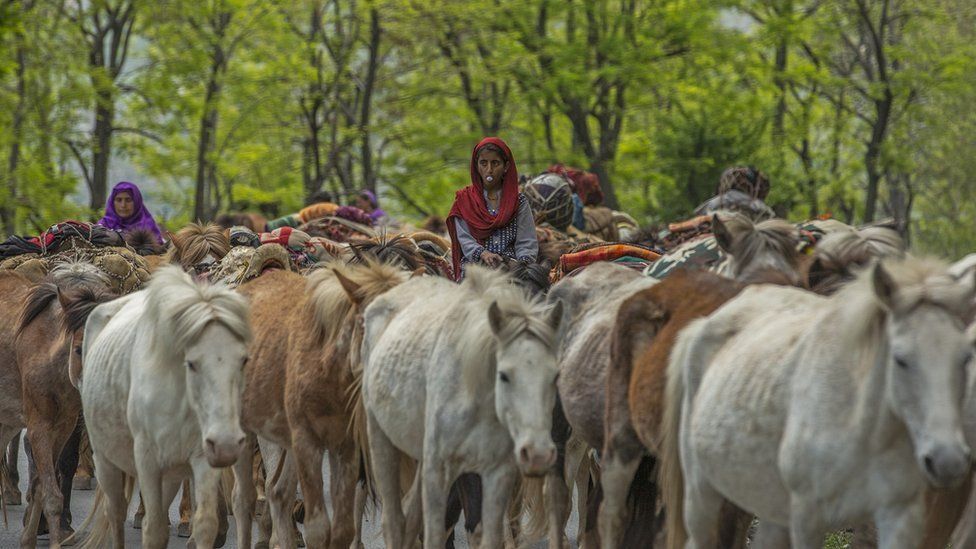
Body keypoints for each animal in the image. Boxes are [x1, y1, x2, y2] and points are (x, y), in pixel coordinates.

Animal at [75, 266, 250, 548]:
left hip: (171, 474)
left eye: (244, 359)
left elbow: (205, 525)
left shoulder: (202, 457)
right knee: (115, 512)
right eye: (192, 363)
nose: (227, 444)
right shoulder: (146, 460)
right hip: (104, 459)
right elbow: (153, 529)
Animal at [364, 266, 564, 548]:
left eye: (555, 376)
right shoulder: (439, 471)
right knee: (394, 520)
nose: (538, 454)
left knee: (410, 515)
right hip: (379, 436)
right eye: (503, 375)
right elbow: (435, 535)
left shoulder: (498, 474)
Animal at [664, 256, 976, 548]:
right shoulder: (807, 517)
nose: (947, 461)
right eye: (901, 359)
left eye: (965, 357)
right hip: (700, 494)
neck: (861, 428)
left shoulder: (899, 514)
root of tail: (704, 324)